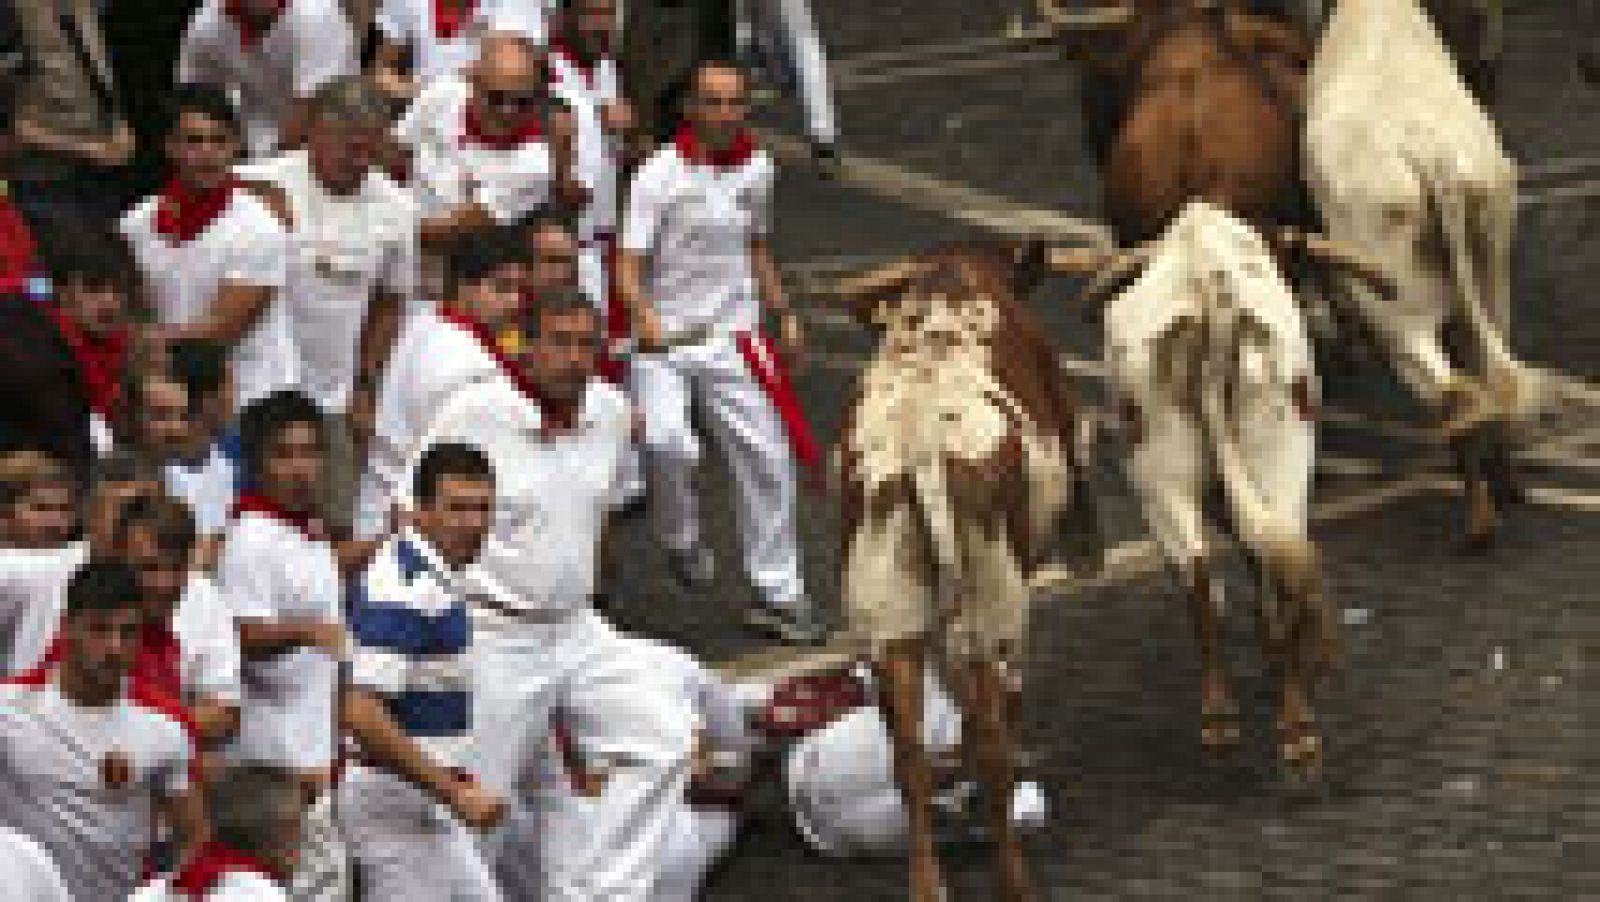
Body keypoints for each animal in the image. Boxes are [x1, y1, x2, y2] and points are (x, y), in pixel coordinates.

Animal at [1305, 0, 1529, 546]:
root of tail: (1434, 156)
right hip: (1492, 264)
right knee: (1493, 368)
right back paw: (1506, 485)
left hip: (1395, 301)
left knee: (1449, 386)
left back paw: (1478, 523)